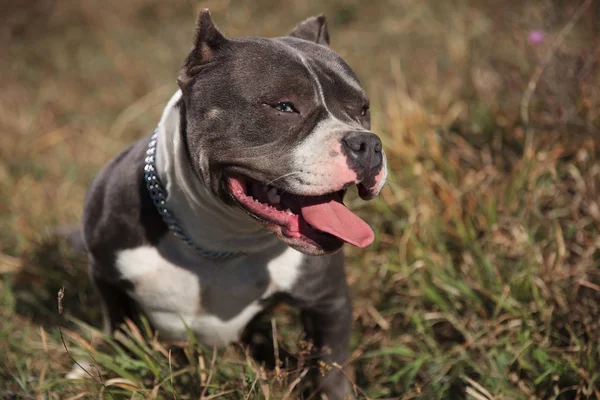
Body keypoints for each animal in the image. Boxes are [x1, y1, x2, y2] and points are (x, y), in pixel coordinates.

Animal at [82, 8, 386, 396]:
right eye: (284, 106)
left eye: (362, 109)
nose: (368, 144)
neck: (222, 239)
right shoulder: (105, 275)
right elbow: (121, 332)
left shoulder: (328, 301)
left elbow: (331, 370)